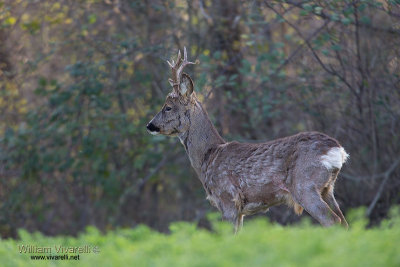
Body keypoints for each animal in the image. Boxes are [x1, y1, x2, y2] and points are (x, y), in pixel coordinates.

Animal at [146, 48, 346, 234]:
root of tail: (337, 149)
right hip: (328, 189)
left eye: (168, 107)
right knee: (344, 222)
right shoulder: (240, 209)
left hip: (305, 185)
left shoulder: (228, 197)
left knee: (332, 221)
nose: (150, 125)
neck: (208, 156)